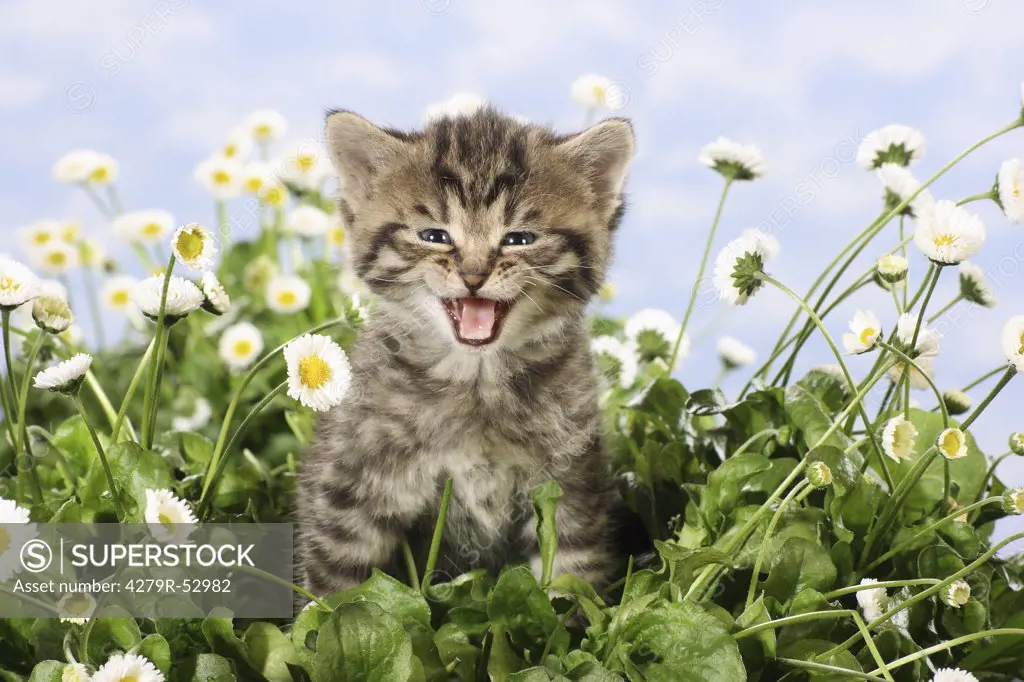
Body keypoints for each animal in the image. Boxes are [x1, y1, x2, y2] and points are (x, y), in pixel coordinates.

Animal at [296, 103, 630, 593]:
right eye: (435, 236)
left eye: (518, 239)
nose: (474, 275)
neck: (478, 377)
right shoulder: (351, 484)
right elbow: (335, 589)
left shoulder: (570, 486)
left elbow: (570, 576)